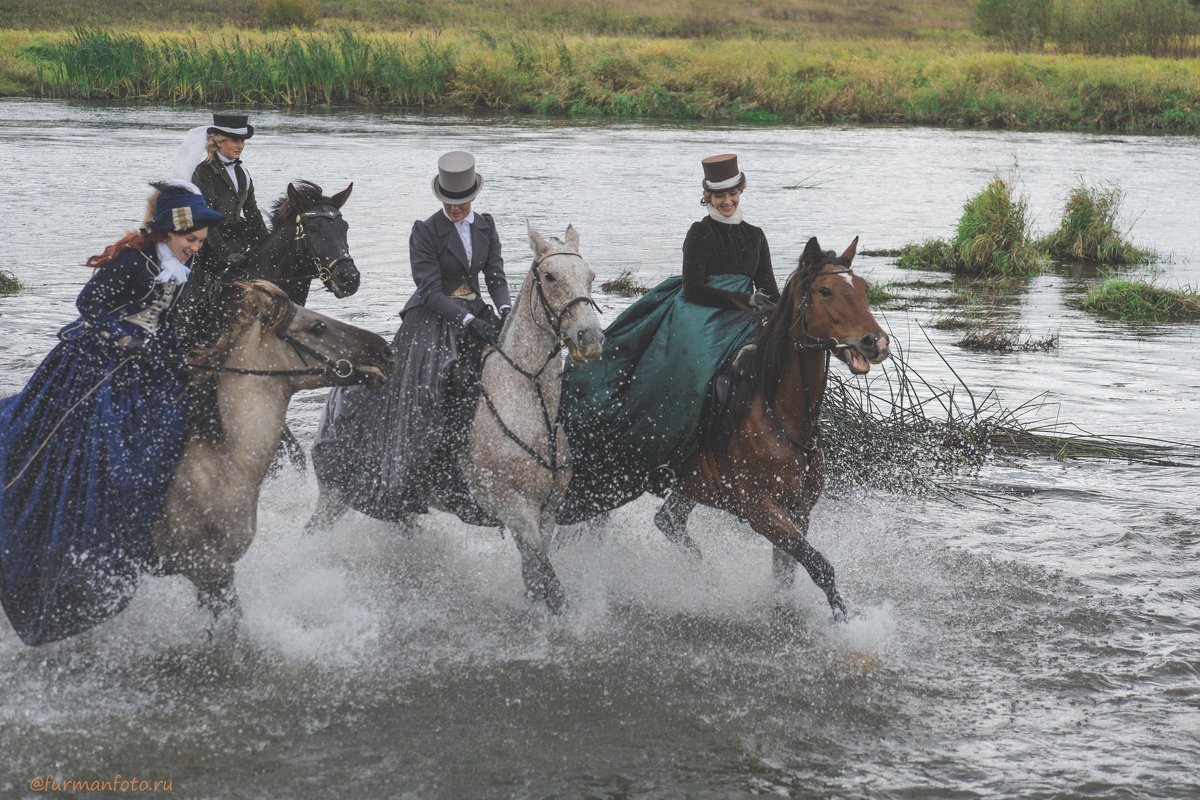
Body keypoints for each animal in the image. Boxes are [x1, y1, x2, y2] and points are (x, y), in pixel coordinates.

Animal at [463, 225, 604, 614]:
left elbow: (535, 572)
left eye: (590, 276)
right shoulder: (512, 505)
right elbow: (547, 579)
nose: (591, 337)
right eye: (550, 276)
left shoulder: (547, 511)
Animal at [652, 237, 888, 618]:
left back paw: (709, 580)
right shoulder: (760, 509)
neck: (781, 417)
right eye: (825, 290)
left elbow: (787, 570)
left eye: (864, 288)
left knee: (668, 522)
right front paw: (844, 621)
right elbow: (820, 566)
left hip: (691, 486)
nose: (876, 342)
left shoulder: (799, 511)